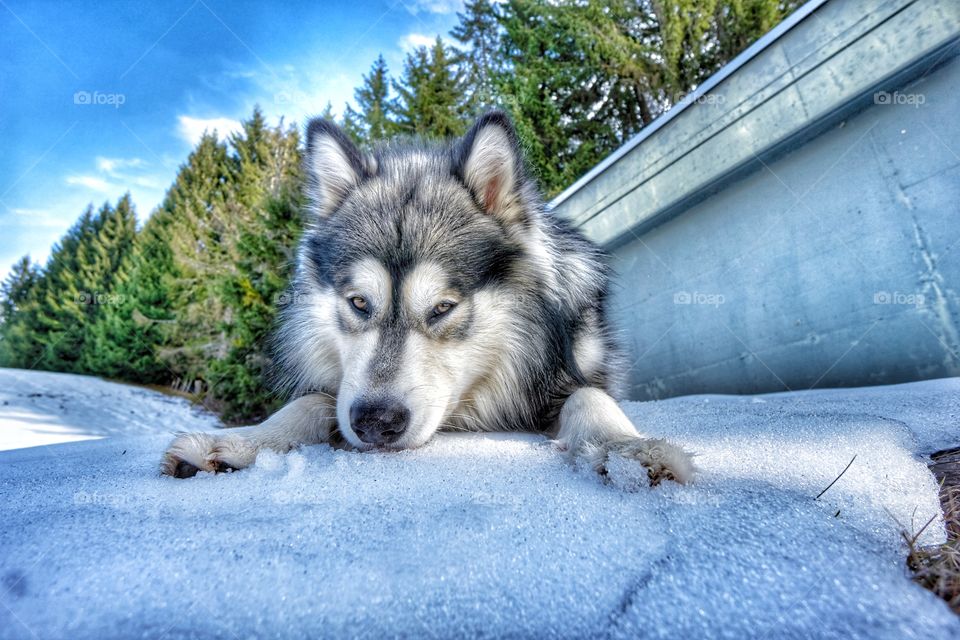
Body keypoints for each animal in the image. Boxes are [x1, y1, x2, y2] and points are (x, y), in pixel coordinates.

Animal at [161, 111, 694, 486]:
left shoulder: (580, 375)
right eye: (359, 303)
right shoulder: (338, 392)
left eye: (442, 308)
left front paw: (623, 449)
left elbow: (590, 396)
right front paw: (246, 442)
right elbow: (310, 402)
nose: (375, 422)